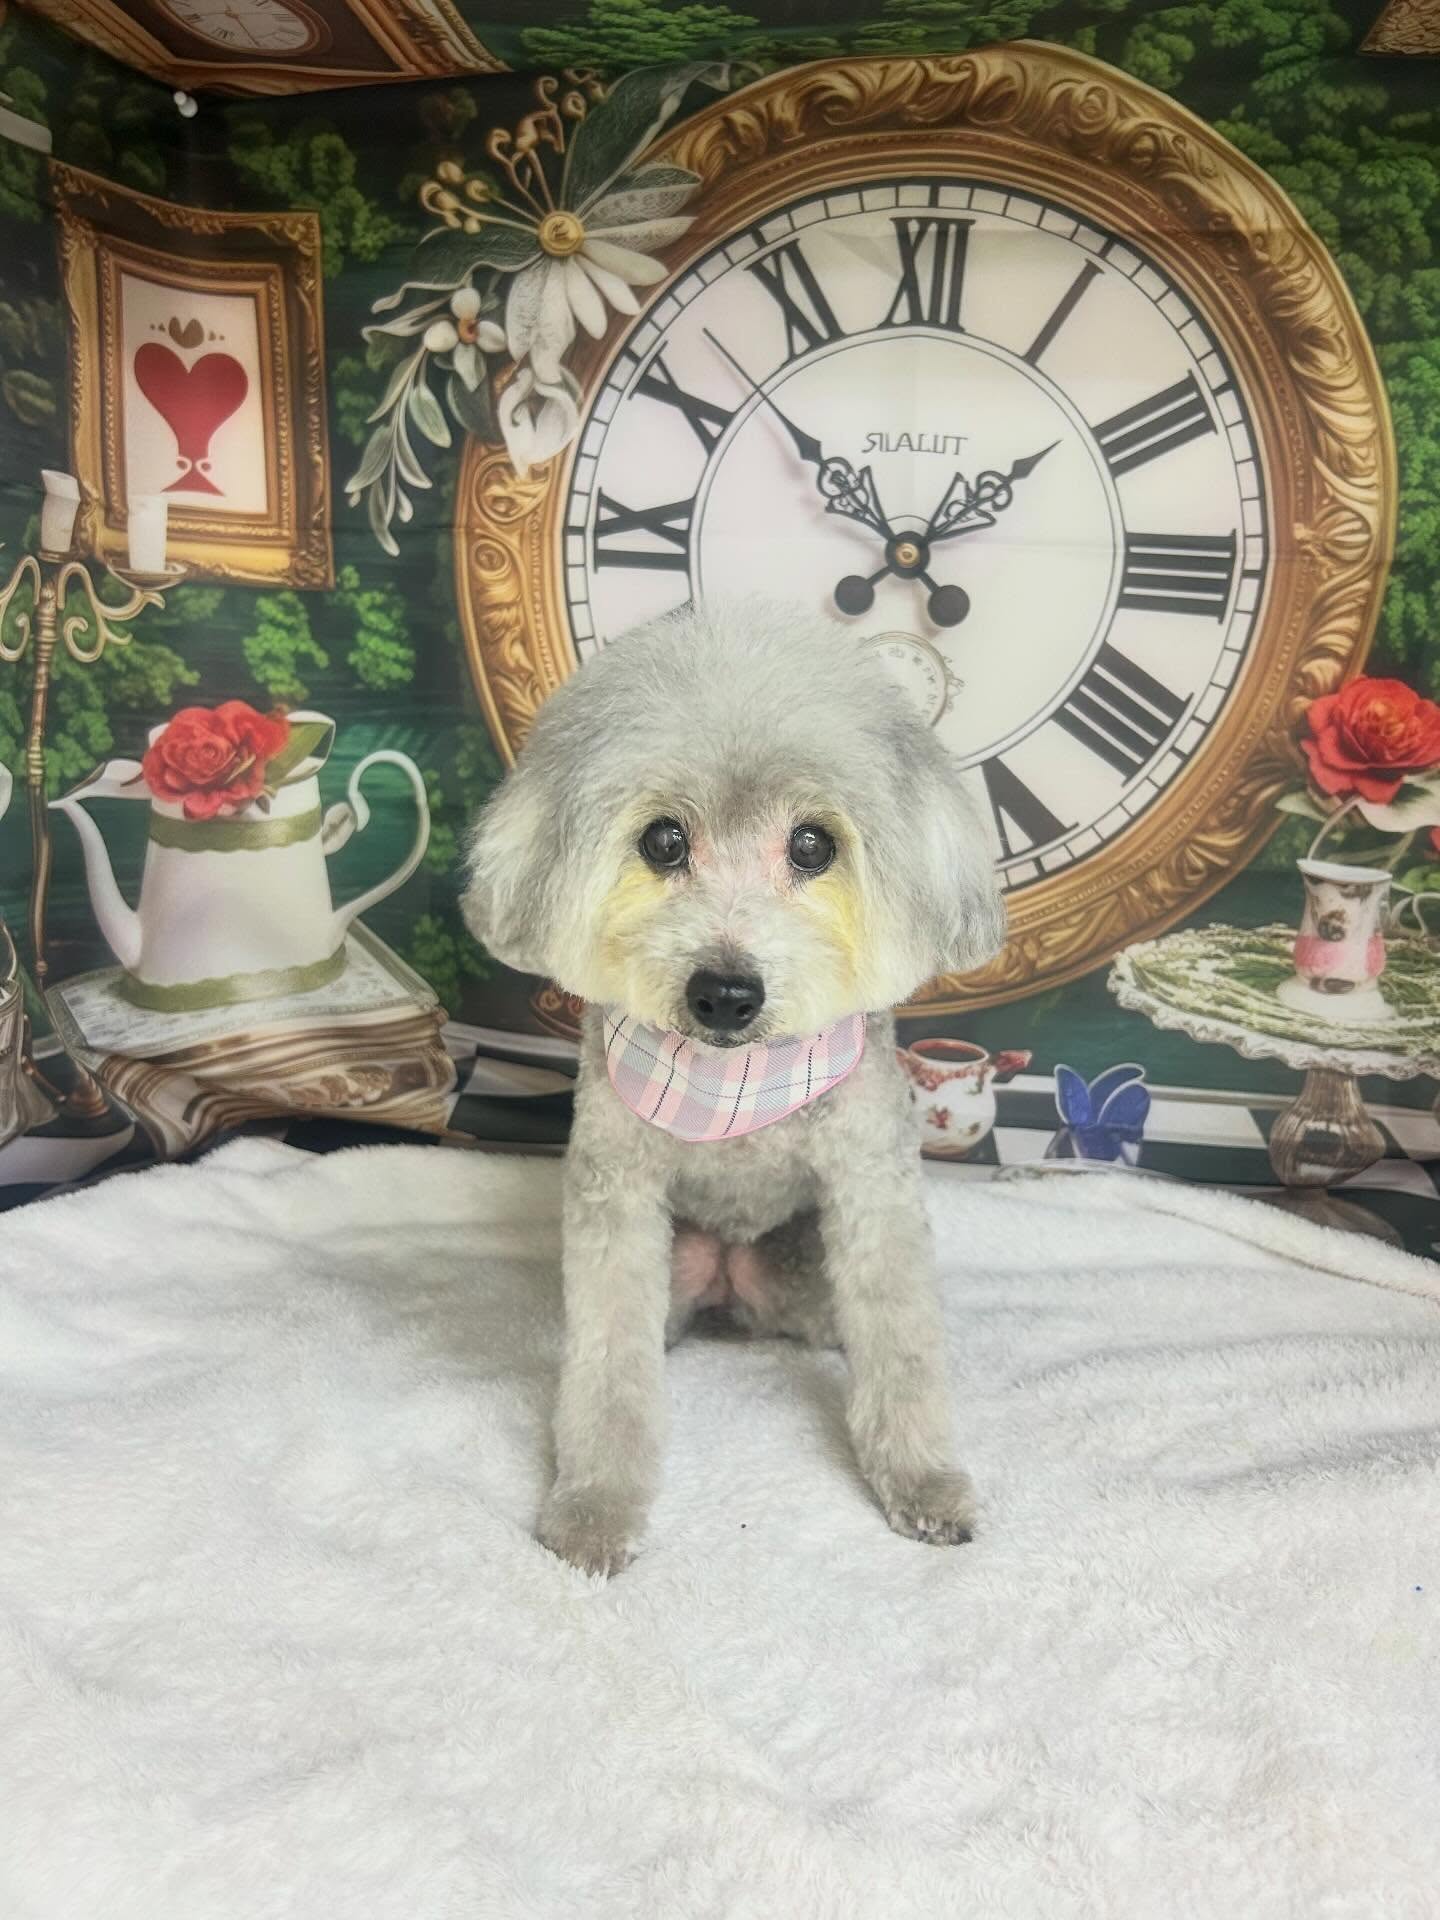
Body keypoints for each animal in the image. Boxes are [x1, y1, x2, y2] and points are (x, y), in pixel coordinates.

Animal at [462, 600, 1006, 1576]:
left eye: (813, 844)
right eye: (664, 840)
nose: (724, 992)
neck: (730, 1085)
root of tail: (729, 1287)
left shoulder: (870, 1181)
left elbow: (902, 1339)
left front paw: (924, 1480)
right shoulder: (616, 1197)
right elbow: (608, 1369)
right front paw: (594, 1506)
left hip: (807, 1274)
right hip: (674, 1267)